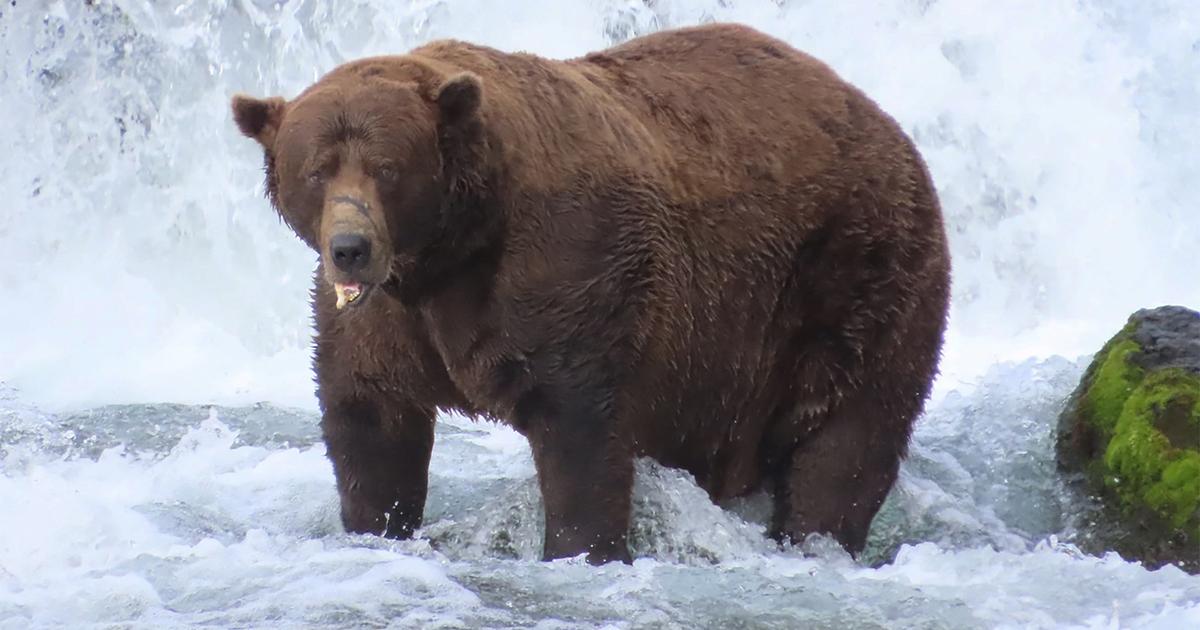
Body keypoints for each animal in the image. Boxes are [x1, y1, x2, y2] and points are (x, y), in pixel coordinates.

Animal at [231, 23, 951, 565]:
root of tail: (887, 123)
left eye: (387, 168)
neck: (449, 253)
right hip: (728, 359)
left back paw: (816, 537)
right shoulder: (384, 319)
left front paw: (582, 549)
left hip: (854, 274)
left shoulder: (568, 270)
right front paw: (377, 524)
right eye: (317, 169)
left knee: (848, 436)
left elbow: (579, 430)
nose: (350, 246)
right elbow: (370, 420)